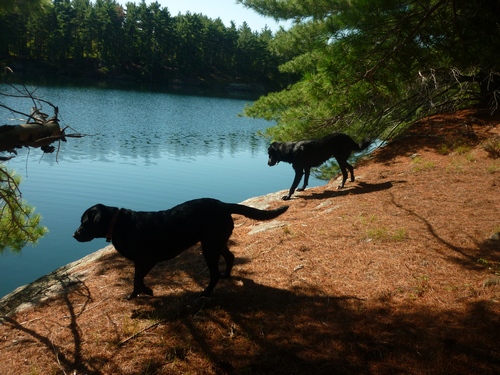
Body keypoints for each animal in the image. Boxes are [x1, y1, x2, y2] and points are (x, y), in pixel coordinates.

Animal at [72, 200, 288, 300]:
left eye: (84, 222)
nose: (74, 234)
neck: (119, 224)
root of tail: (223, 205)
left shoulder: (147, 260)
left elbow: (138, 279)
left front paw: (148, 291)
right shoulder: (139, 263)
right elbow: (135, 280)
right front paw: (133, 296)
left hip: (209, 247)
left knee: (215, 274)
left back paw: (205, 293)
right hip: (216, 242)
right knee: (230, 257)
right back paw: (227, 275)